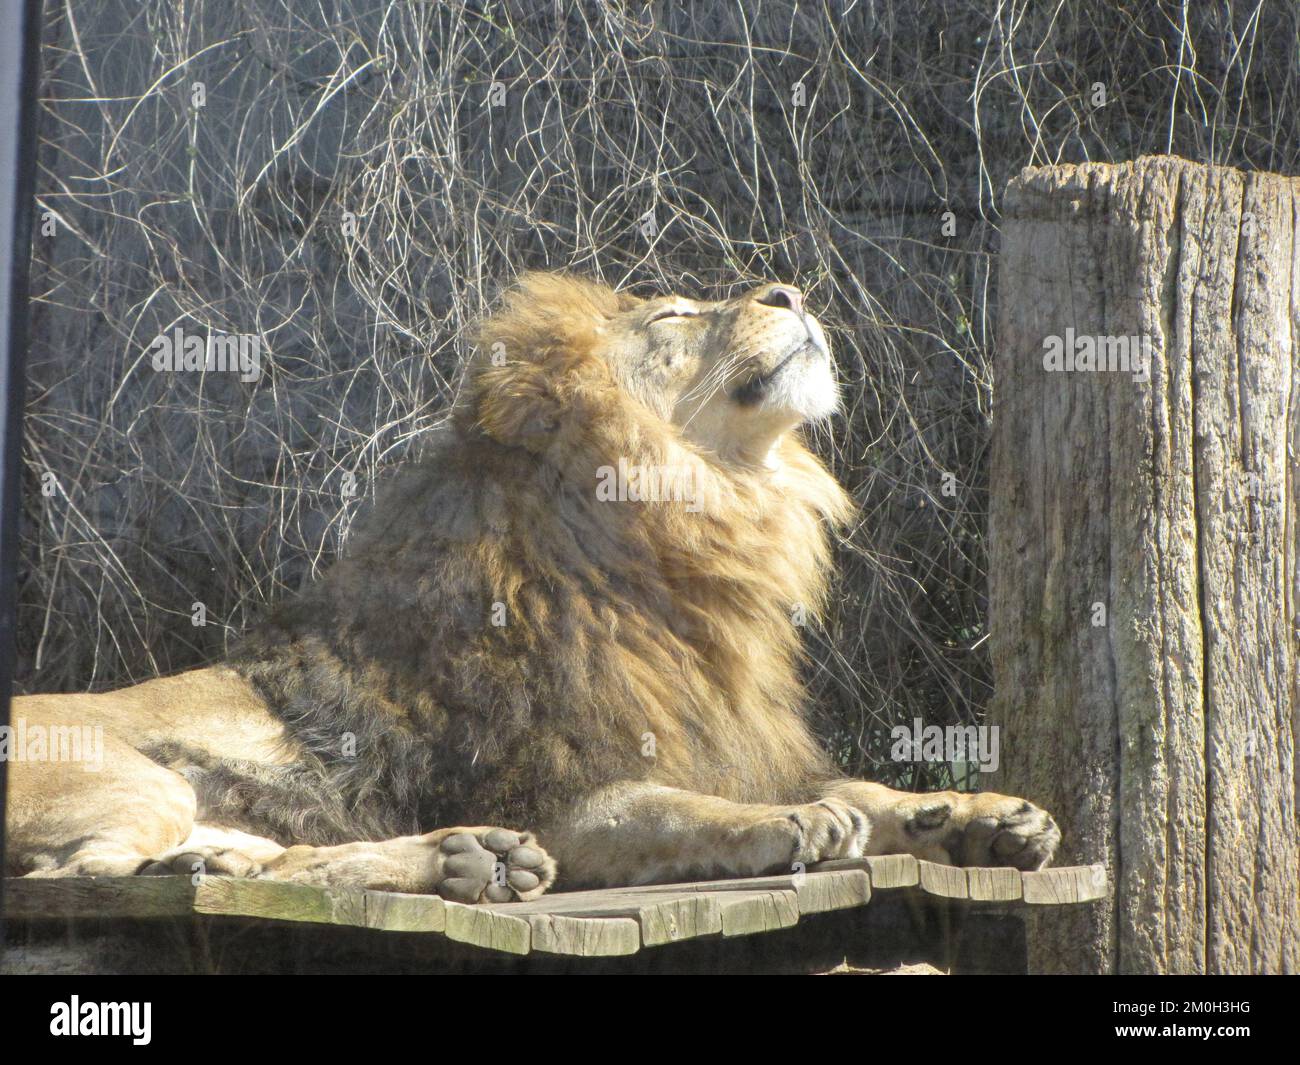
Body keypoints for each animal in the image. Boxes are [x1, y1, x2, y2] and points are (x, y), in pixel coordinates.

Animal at [2, 273, 1055, 899]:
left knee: (270, 863)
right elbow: (666, 805)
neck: (707, 528)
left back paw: (459, 859)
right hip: (129, 775)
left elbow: (860, 783)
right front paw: (782, 822)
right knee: (80, 876)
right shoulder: (552, 789)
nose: (787, 289)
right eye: (672, 315)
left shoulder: (734, 739)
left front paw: (976, 816)